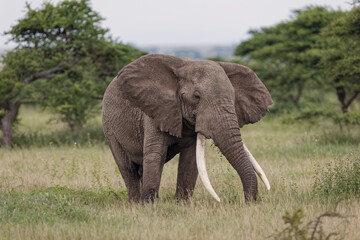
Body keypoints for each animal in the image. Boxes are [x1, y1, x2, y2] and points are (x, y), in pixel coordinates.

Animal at [102, 54, 272, 202]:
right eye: (196, 97)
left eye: (233, 97)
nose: (248, 202)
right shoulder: (155, 110)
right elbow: (155, 154)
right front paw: (149, 206)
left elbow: (190, 159)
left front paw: (181, 204)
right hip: (109, 129)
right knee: (127, 168)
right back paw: (135, 203)